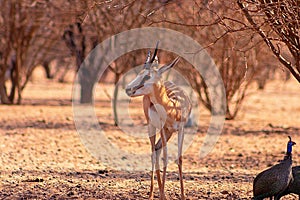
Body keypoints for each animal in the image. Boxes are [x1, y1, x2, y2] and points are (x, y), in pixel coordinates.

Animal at [125, 43, 191, 199]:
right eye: (139, 73)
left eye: (147, 75)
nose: (128, 89)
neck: (174, 106)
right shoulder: (162, 127)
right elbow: (165, 157)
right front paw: (162, 194)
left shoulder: (181, 129)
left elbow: (179, 158)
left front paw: (183, 195)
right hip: (152, 127)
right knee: (153, 152)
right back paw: (152, 194)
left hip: (169, 132)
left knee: (157, 149)